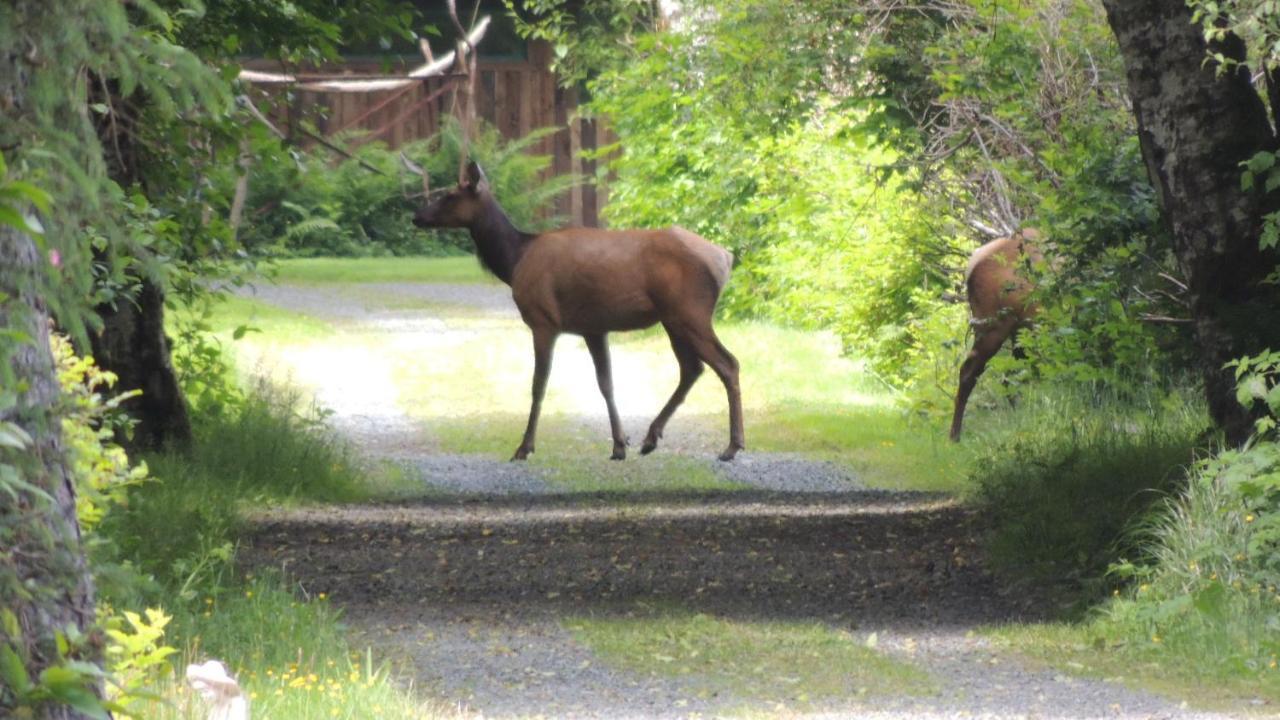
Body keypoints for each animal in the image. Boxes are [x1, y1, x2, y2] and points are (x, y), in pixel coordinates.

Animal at [409, 162, 747, 458]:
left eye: (450, 195)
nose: (417, 216)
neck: (514, 260)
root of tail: (725, 258)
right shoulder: (593, 327)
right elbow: (606, 383)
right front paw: (619, 444)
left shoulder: (543, 320)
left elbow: (538, 385)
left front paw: (524, 448)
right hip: (673, 319)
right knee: (692, 368)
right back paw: (651, 438)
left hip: (690, 312)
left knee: (727, 363)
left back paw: (732, 446)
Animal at [947, 226, 1044, 440]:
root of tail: (970, 269)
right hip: (997, 325)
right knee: (969, 371)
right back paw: (954, 435)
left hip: (1016, 327)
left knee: (1013, 373)